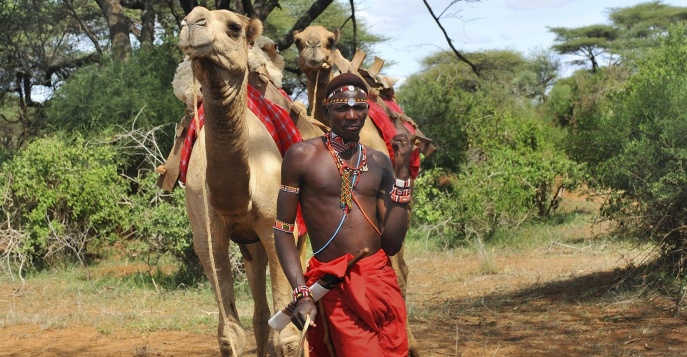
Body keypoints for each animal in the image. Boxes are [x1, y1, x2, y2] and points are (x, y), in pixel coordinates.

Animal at [179, 6, 306, 354]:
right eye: (185, 20)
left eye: (234, 28)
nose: (191, 21)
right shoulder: (207, 236)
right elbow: (230, 333)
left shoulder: (276, 224)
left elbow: (288, 337)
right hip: (250, 244)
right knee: (260, 312)